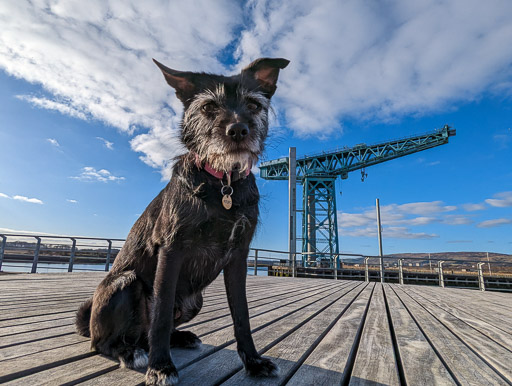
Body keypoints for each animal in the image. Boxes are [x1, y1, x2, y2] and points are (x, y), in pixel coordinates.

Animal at [77, 57, 288, 386]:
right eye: (209, 107)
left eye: (254, 105)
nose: (238, 130)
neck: (222, 184)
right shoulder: (171, 250)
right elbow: (162, 316)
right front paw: (161, 366)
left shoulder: (238, 257)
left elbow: (242, 315)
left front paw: (253, 362)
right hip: (126, 282)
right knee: (106, 342)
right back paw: (130, 352)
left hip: (194, 300)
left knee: (144, 334)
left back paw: (180, 338)